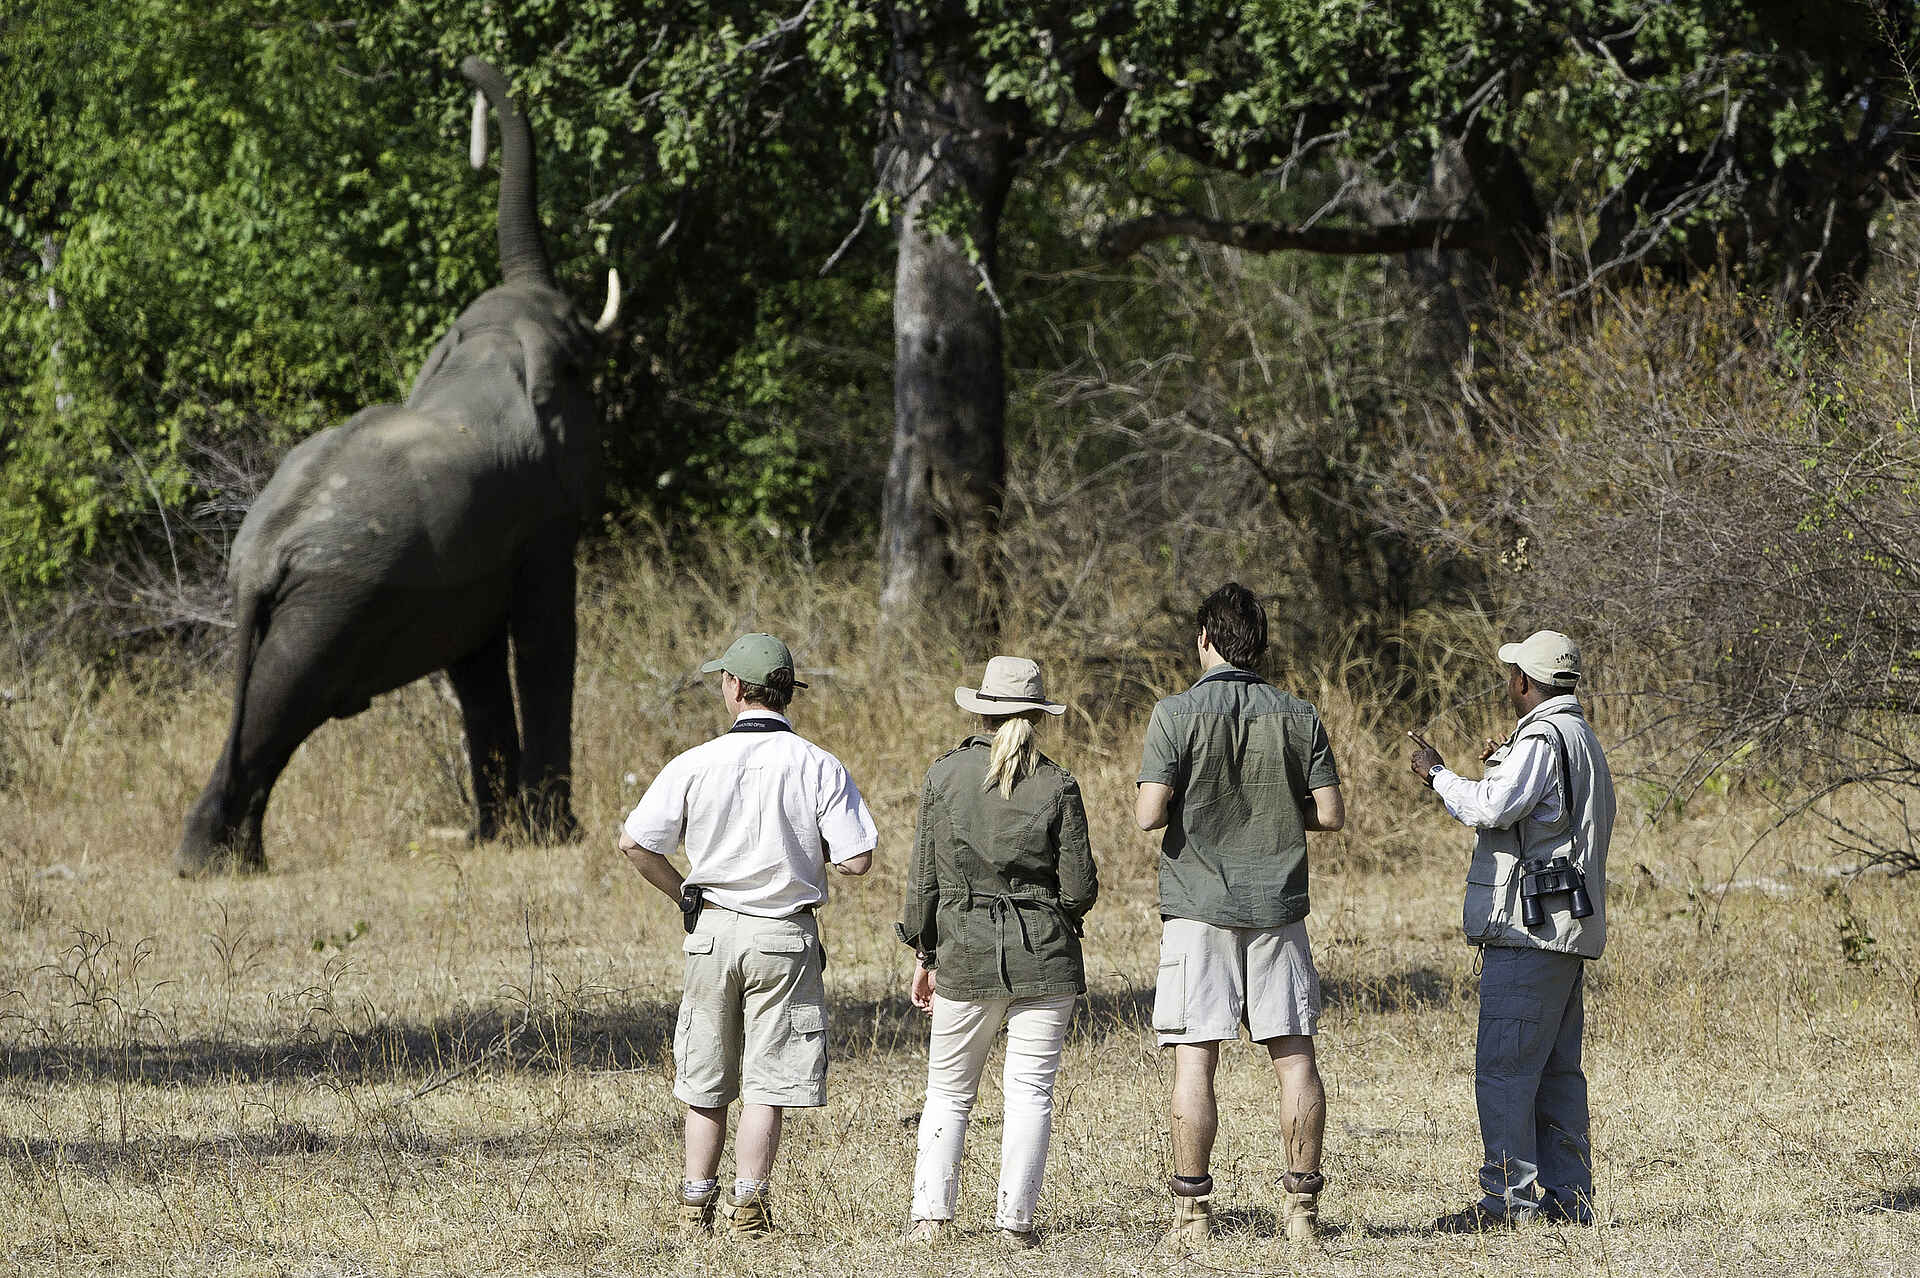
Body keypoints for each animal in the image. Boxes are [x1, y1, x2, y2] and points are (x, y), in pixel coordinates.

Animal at [175, 56, 620, 875]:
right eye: (582, 356)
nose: (469, 70)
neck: (491, 352)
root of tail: (259, 558)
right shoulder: (539, 519)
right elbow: (545, 635)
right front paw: (554, 837)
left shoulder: (470, 555)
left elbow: (477, 663)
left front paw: (499, 838)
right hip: (329, 603)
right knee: (282, 705)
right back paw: (216, 865)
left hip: (311, 605)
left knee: (265, 711)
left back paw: (230, 861)